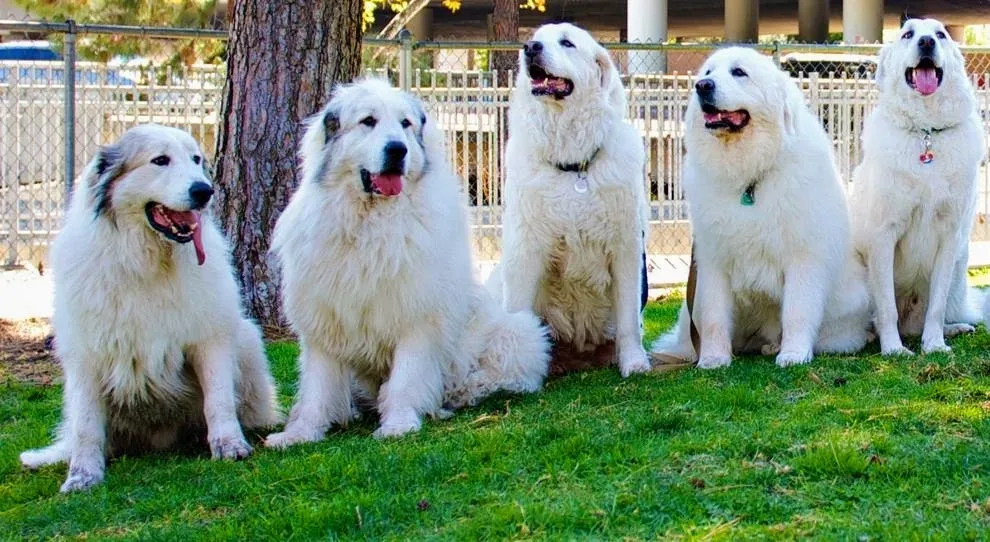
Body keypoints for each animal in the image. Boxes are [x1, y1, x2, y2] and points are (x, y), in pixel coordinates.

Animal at [20, 125, 282, 496]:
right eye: (160, 160)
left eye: (196, 159)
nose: (204, 191)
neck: (147, 261)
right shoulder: (85, 355)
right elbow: (86, 426)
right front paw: (82, 475)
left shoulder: (210, 338)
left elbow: (218, 400)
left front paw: (229, 446)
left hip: (246, 337)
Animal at [490, 22, 660, 378]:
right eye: (535, 40)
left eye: (567, 43)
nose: (530, 48)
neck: (573, 166)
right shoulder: (524, 250)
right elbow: (515, 314)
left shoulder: (626, 248)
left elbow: (629, 319)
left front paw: (634, 361)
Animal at [656, 47, 872, 370]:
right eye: (708, 73)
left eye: (739, 72)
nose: (702, 87)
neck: (750, 177)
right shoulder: (714, 261)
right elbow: (714, 319)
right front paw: (713, 358)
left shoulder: (803, 259)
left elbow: (797, 312)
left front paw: (794, 354)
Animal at [856, 18, 988, 356]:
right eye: (907, 34)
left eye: (941, 34)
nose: (927, 42)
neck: (926, 131)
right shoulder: (884, 235)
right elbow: (887, 307)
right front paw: (893, 350)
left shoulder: (950, 237)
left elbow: (936, 307)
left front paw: (935, 344)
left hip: (958, 271)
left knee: (927, 317)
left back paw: (954, 328)